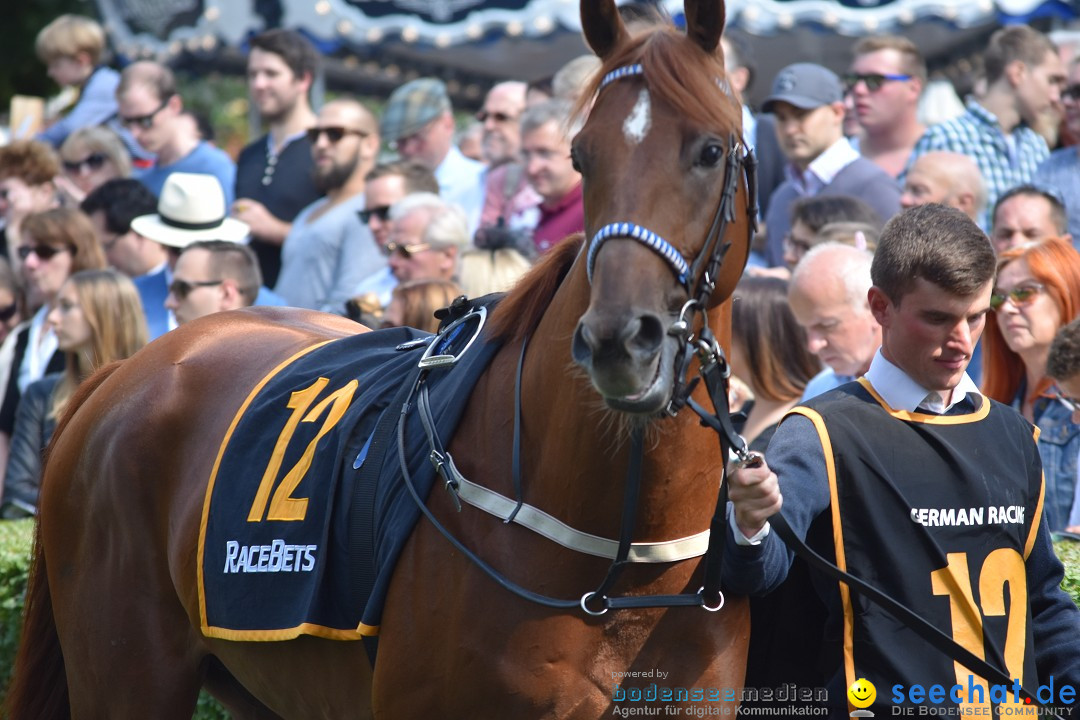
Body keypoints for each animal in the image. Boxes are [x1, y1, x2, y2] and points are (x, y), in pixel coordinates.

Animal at [8, 2, 751, 716]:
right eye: (582, 155)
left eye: (711, 150)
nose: (619, 340)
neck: (619, 570)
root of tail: (128, 369)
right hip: (127, 674)